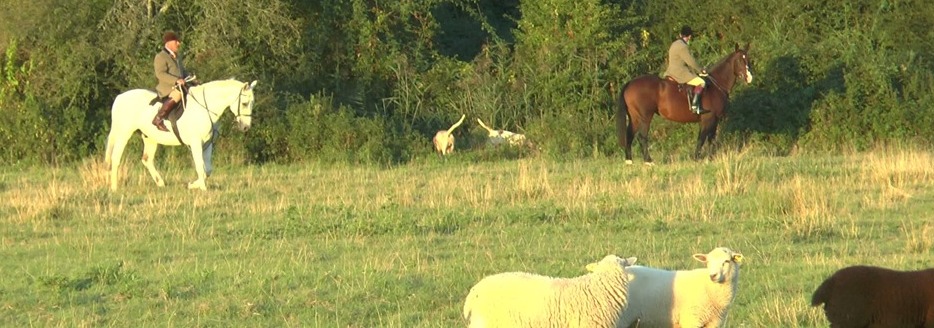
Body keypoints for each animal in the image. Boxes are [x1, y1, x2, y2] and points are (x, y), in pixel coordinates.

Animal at [106, 79, 258, 191]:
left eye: (252, 103)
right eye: (244, 103)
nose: (245, 127)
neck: (205, 108)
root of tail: (119, 97)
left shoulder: (208, 144)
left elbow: (208, 170)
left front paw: (192, 185)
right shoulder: (196, 143)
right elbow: (200, 166)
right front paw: (202, 188)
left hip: (150, 138)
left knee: (147, 160)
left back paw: (160, 183)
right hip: (124, 134)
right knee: (116, 158)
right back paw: (114, 187)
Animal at [616, 44, 756, 164]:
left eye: (748, 59)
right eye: (739, 60)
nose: (749, 78)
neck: (716, 85)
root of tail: (630, 83)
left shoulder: (714, 119)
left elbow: (711, 139)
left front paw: (710, 158)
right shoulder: (708, 118)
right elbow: (702, 138)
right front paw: (697, 158)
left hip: (634, 117)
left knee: (630, 135)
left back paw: (629, 161)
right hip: (645, 117)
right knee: (642, 137)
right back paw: (648, 161)